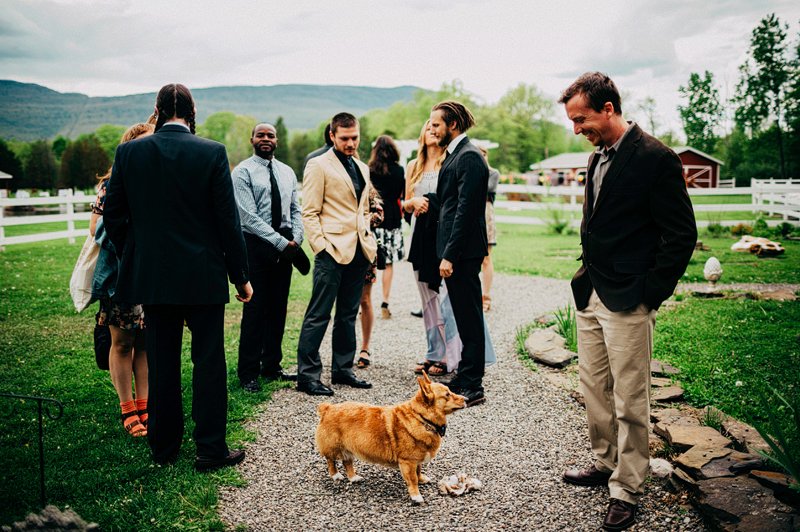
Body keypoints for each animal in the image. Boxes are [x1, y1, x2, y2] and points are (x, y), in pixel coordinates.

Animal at [312, 370, 462, 502]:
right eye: (447, 395)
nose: (466, 399)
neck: (422, 418)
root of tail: (328, 408)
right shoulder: (408, 461)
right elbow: (412, 479)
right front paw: (416, 496)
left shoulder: (416, 459)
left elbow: (418, 471)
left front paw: (422, 479)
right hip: (333, 447)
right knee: (331, 461)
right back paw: (336, 475)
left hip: (349, 447)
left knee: (347, 462)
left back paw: (353, 477)